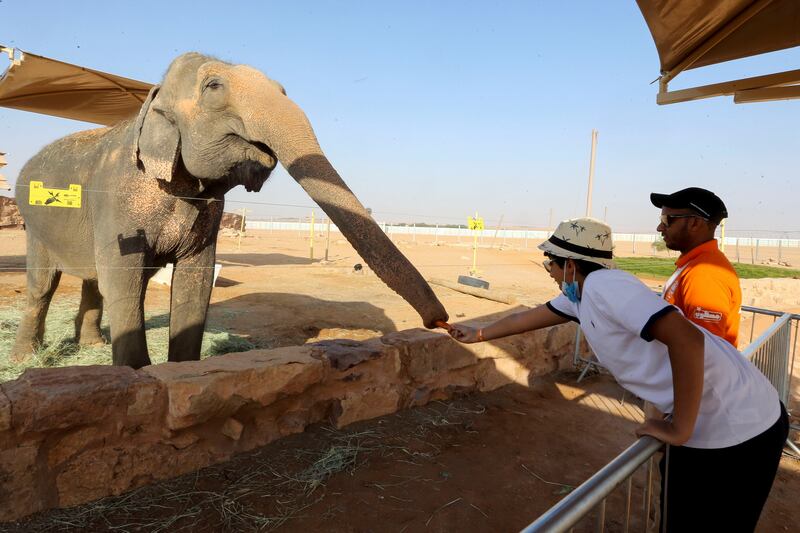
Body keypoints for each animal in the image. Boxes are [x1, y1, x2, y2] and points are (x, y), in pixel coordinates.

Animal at [12, 53, 446, 370]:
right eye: (214, 86)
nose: (441, 323)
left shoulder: (209, 213)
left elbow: (198, 279)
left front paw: (181, 371)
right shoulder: (116, 198)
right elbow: (124, 277)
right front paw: (135, 375)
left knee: (91, 281)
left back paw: (92, 344)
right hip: (35, 223)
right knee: (43, 286)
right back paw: (27, 357)